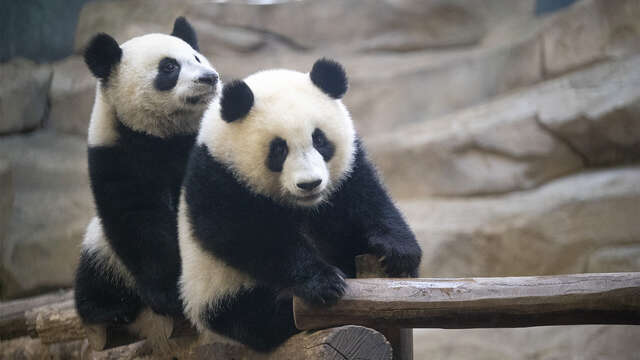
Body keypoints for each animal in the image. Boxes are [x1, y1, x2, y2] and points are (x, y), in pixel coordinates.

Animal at [73, 15, 220, 338]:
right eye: (169, 67)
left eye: (197, 57)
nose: (209, 77)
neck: (163, 134)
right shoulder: (117, 155)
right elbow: (139, 221)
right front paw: (170, 296)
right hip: (104, 251)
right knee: (95, 272)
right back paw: (108, 308)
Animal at [178, 59, 422, 352]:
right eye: (278, 149)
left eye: (320, 140)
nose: (310, 184)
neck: (303, 206)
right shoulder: (219, 177)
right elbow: (247, 235)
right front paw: (324, 282)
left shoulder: (347, 171)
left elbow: (368, 198)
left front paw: (399, 252)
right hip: (217, 291)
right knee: (254, 316)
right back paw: (285, 309)